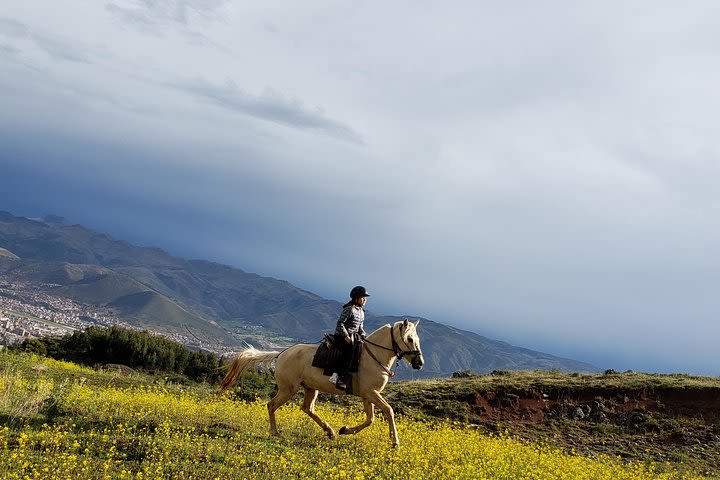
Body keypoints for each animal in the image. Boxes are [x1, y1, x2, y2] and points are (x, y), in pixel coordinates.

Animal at [217, 318, 424, 446]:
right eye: (409, 339)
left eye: (417, 339)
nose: (419, 363)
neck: (374, 356)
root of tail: (282, 353)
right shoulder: (371, 393)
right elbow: (388, 410)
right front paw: (395, 442)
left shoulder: (368, 395)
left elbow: (370, 419)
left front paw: (345, 430)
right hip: (288, 389)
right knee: (271, 405)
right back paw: (275, 432)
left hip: (310, 388)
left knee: (307, 408)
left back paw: (330, 431)